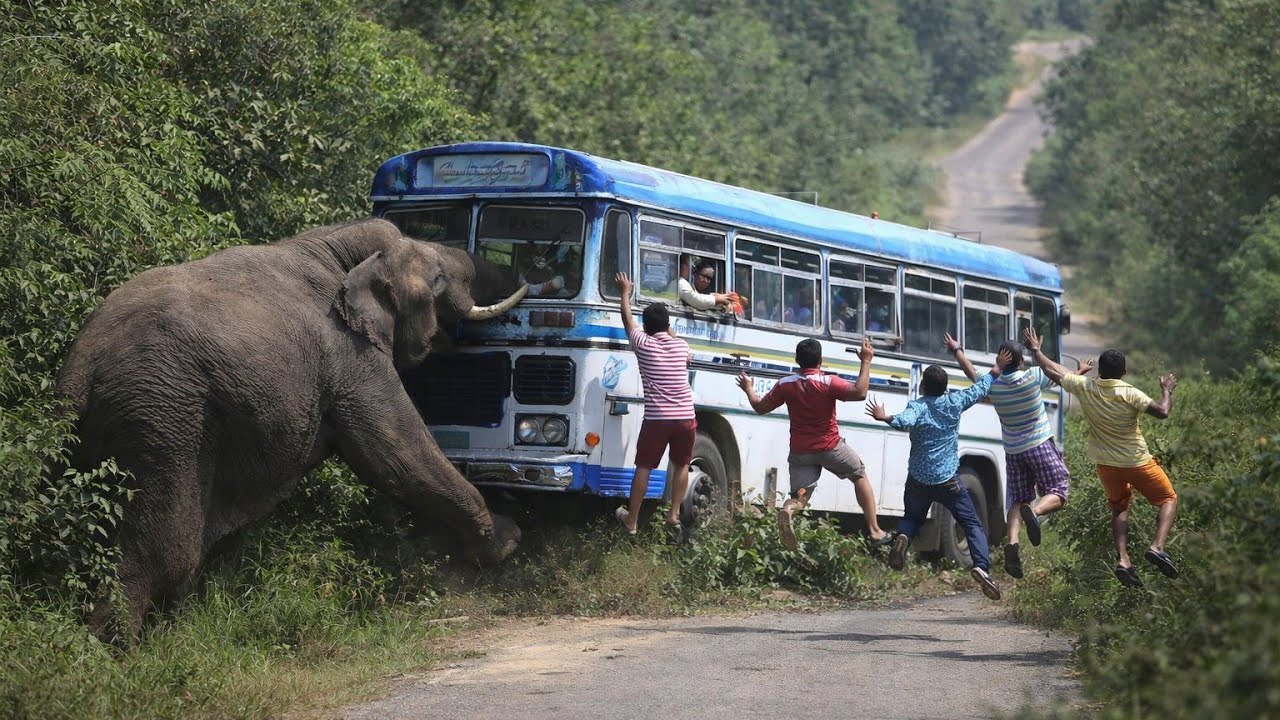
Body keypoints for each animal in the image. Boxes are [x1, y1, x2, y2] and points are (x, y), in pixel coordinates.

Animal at [55, 218, 527, 641]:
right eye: (440, 279)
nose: (533, 274)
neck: (343, 247)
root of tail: (83, 366)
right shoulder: (349, 353)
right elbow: (396, 454)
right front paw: (508, 541)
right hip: (163, 418)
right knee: (164, 555)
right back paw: (114, 652)